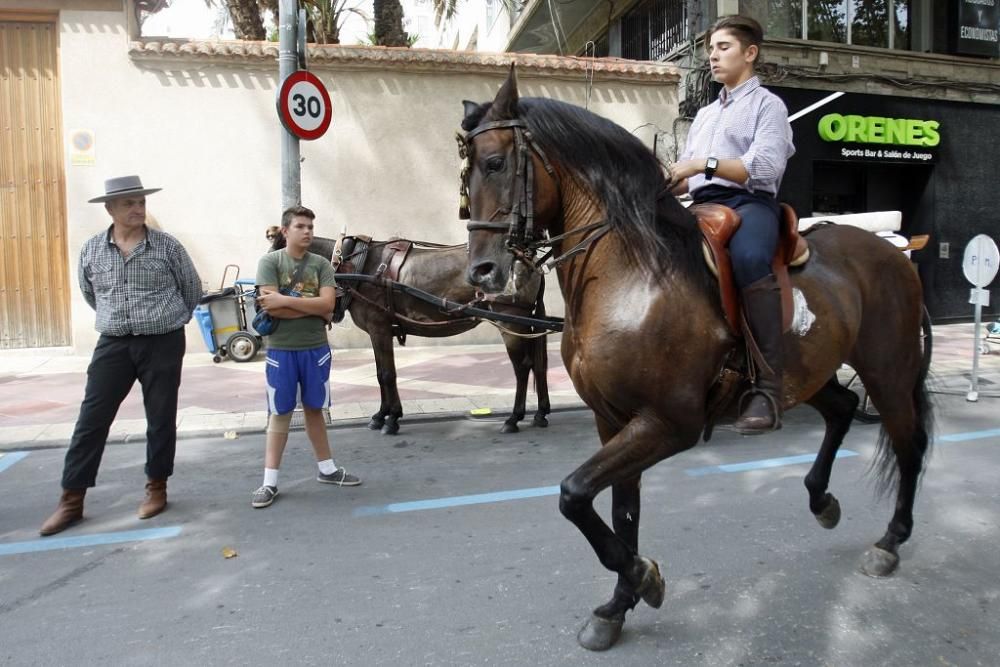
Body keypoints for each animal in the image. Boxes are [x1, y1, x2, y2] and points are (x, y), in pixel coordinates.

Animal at [264, 227, 548, 436]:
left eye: (271, 261)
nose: (259, 298)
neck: (355, 266)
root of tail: (528, 258)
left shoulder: (379, 328)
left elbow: (387, 374)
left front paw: (391, 420)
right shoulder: (377, 332)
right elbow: (381, 374)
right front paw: (381, 416)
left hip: (510, 321)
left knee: (523, 367)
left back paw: (514, 418)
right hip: (525, 320)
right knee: (538, 364)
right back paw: (541, 413)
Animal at [458, 68, 932, 652]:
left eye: (495, 163)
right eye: (466, 174)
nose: (481, 272)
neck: (632, 275)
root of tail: (893, 252)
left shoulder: (670, 422)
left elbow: (574, 495)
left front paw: (643, 578)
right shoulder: (614, 421)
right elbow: (620, 509)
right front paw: (617, 606)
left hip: (888, 374)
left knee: (908, 444)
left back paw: (890, 541)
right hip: (809, 373)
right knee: (843, 408)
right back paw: (822, 501)